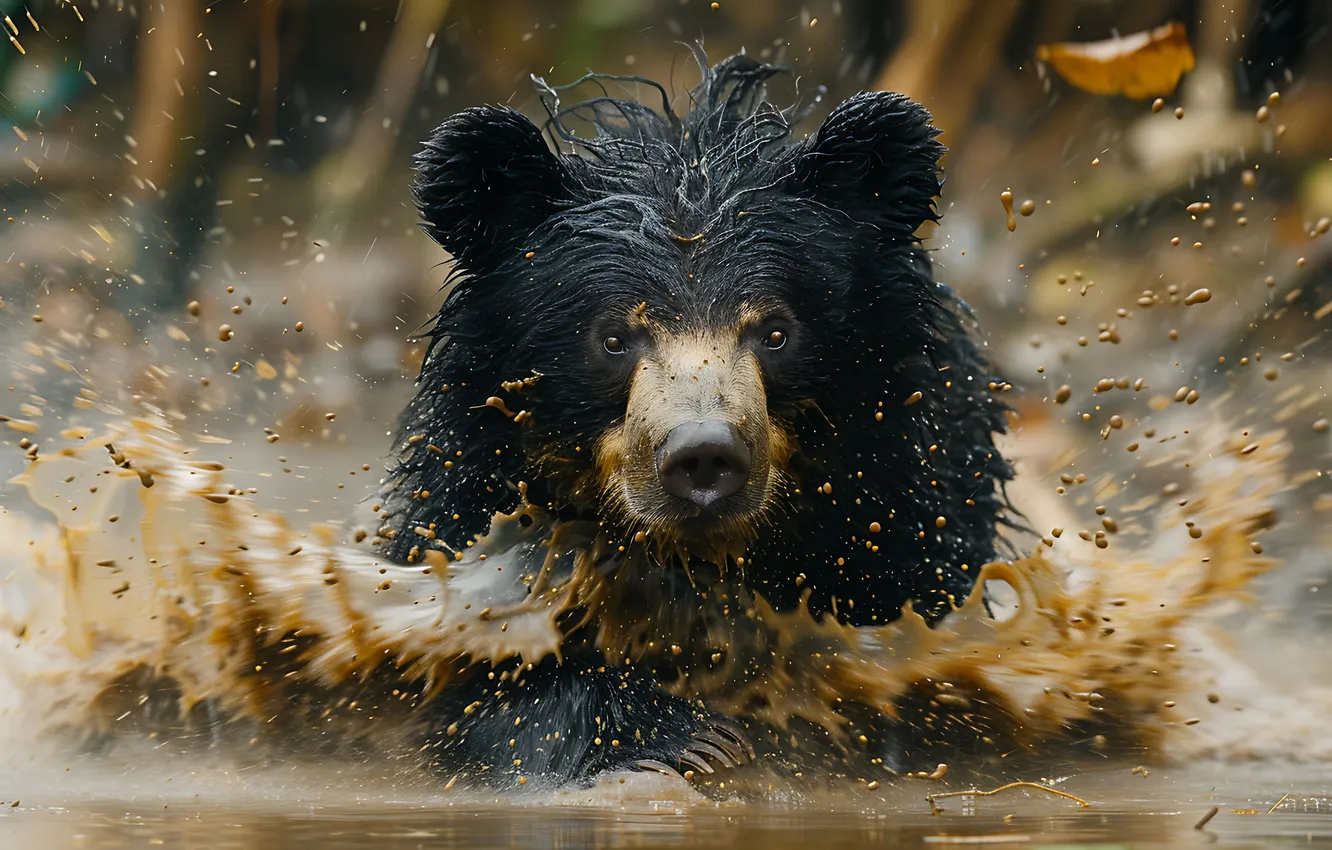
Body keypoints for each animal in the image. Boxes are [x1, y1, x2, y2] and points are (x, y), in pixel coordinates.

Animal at [374, 50, 1012, 787]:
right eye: (613, 339)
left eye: (775, 333)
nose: (704, 456)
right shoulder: (473, 493)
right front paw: (681, 737)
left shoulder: (908, 505)